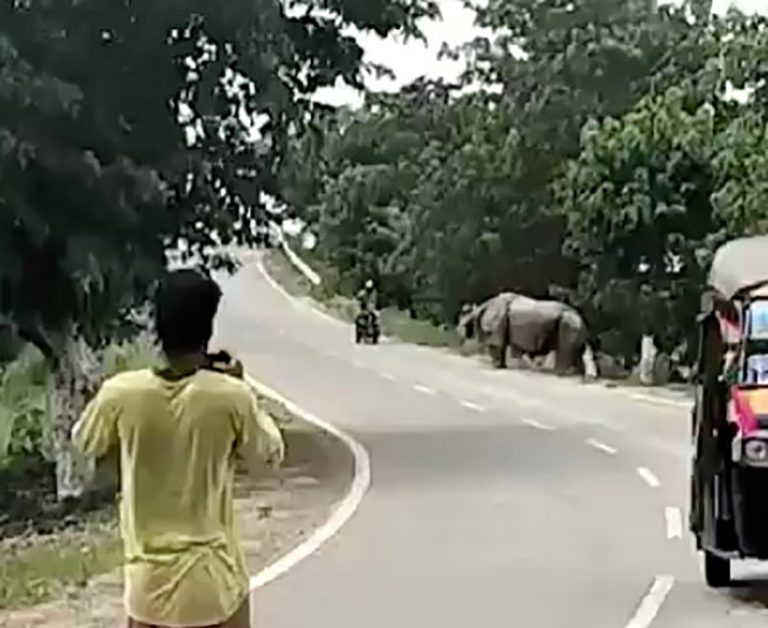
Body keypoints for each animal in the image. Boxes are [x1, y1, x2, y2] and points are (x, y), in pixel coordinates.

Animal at [460, 290, 592, 372]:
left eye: (465, 325)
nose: (458, 332)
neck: (480, 309)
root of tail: (581, 320)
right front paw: (503, 366)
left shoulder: (496, 331)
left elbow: (496, 346)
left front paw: (497, 366)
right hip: (573, 322)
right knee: (576, 351)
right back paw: (575, 374)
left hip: (568, 322)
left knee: (565, 349)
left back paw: (560, 373)